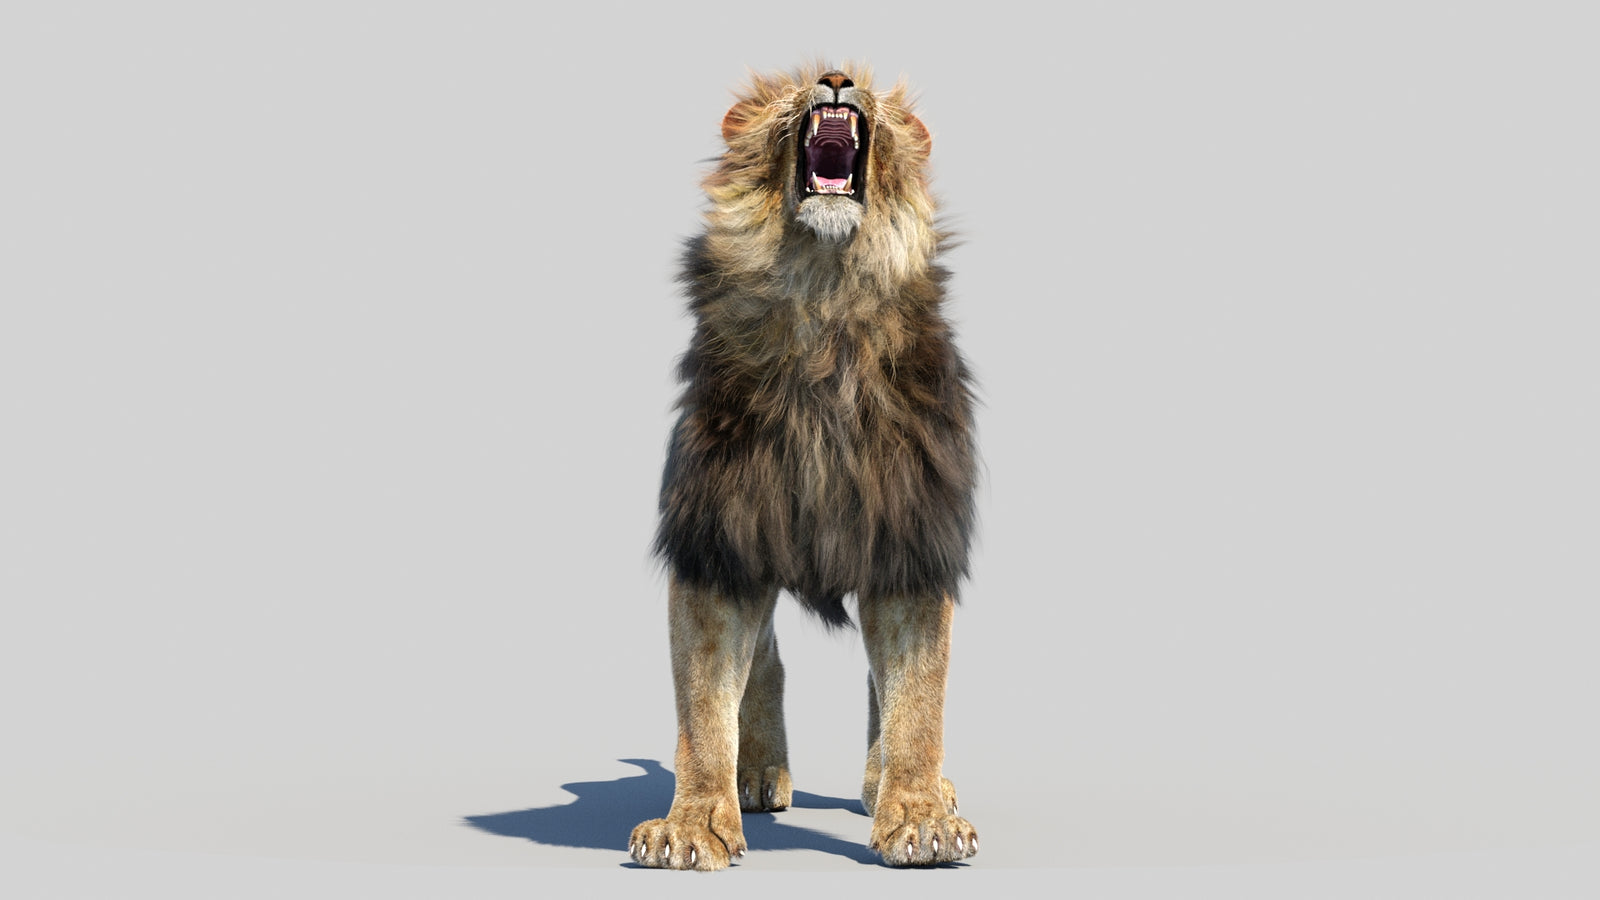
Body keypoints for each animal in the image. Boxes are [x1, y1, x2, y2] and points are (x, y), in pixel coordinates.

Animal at [628, 64, 979, 870]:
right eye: (789, 88)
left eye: (870, 82)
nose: (837, 79)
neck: (825, 297)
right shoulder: (718, 540)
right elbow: (703, 702)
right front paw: (693, 824)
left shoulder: (910, 538)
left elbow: (917, 696)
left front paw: (919, 817)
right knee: (764, 658)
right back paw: (756, 772)